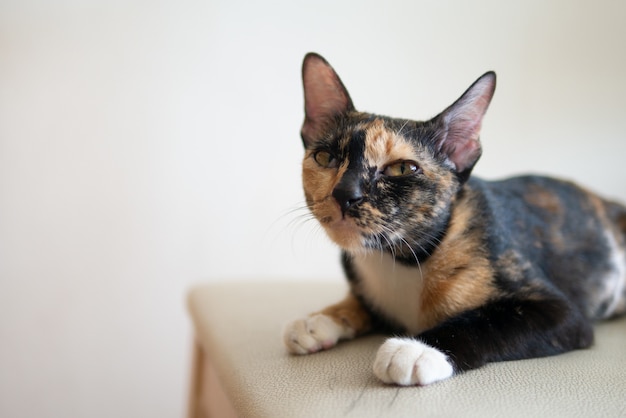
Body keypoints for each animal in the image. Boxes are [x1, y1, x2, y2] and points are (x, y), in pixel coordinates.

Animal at [282, 52, 624, 386]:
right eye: (325, 157)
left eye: (402, 169)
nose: (344, 193)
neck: (401, 258)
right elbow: (362, 303)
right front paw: (320, 319)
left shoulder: (563, 313)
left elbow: (489, 322)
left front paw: (416, 349)